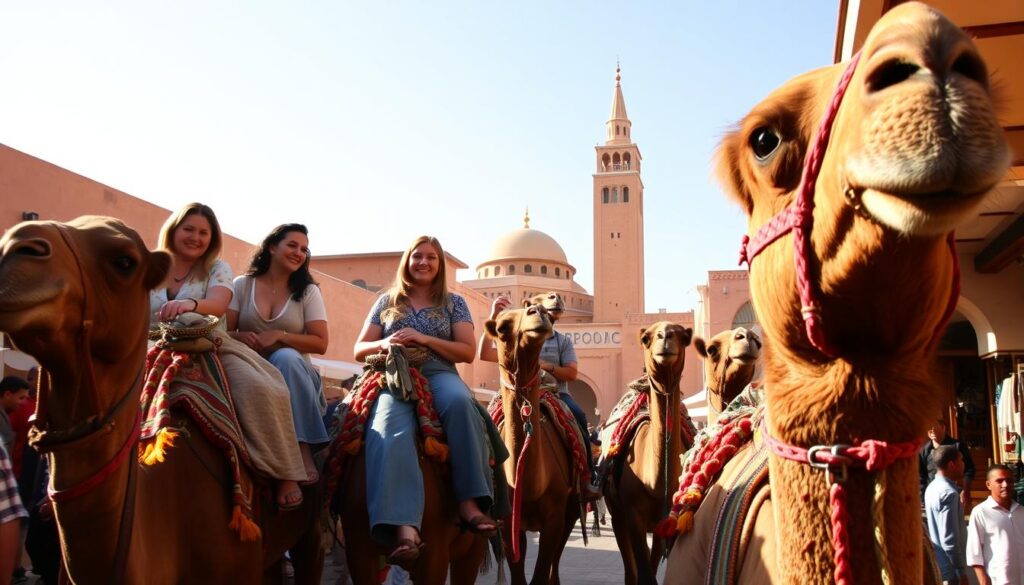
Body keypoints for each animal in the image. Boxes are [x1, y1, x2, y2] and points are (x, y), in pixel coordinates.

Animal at [485, 302, 580, 585]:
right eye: (502, 327)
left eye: (547, 315)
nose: (537, 311)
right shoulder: (508, 522)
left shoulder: (554, 519)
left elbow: (542, 571)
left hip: (572, 508)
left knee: (556, 558)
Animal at [602, 322, 692, 585]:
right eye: (645, 338)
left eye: (684, 336)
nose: (665, 337)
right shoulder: (633, 516)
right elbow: (643, 575)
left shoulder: (670, 518)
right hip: (616, 512)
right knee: (630, 571)